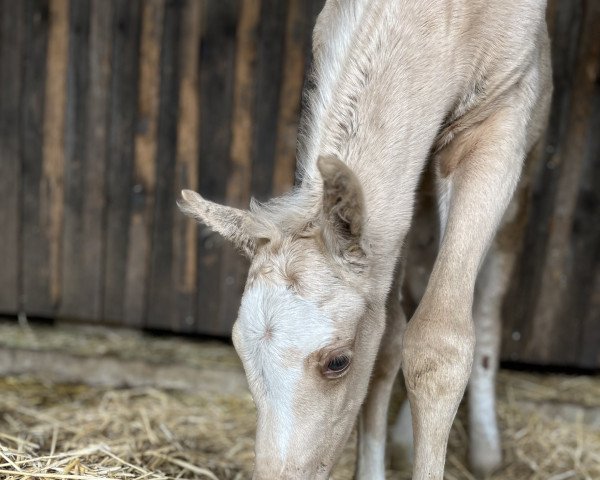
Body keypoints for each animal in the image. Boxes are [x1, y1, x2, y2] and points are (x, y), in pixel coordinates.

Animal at [179, 1, 552, 478]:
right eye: (238, 348)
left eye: (338, 362)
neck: (451, 22)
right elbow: (389, 341)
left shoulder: (495, 125)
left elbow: (439, 343)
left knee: (488, 297)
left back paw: (486, 449)